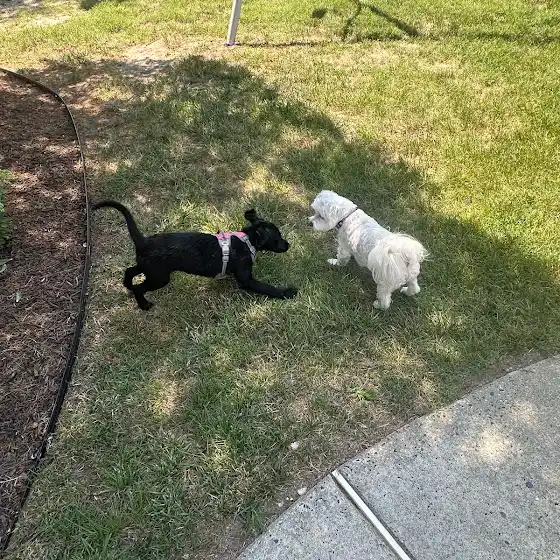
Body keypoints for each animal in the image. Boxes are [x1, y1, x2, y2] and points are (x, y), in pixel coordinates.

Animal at [93, 201, 297, 310]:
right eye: (278, 237)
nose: (288, 245)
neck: (247, 240)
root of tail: (144, 241)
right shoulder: (246, 280)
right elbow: (267, 288)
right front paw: (287, 293)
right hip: (159, 277)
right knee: (139, 288)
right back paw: (144, 305)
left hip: (150, 268)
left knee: (129, 270)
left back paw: (127, 284)